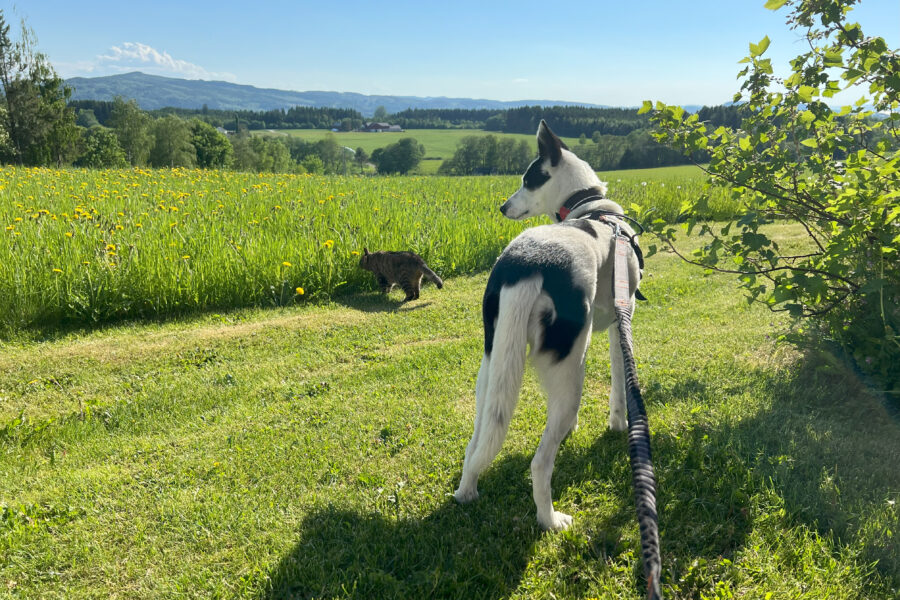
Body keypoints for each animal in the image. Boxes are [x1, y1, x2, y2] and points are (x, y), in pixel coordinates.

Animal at [454, 120, 644, 528]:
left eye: (528, 180)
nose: (502, 206)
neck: (588, 206)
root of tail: (528, 265)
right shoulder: (620, 323)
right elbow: (620, 386)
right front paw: (618, 424)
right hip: (568, 374)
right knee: (540, 463)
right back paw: (550, 520)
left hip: (492, 370)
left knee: (477, 443)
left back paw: (466, 491)